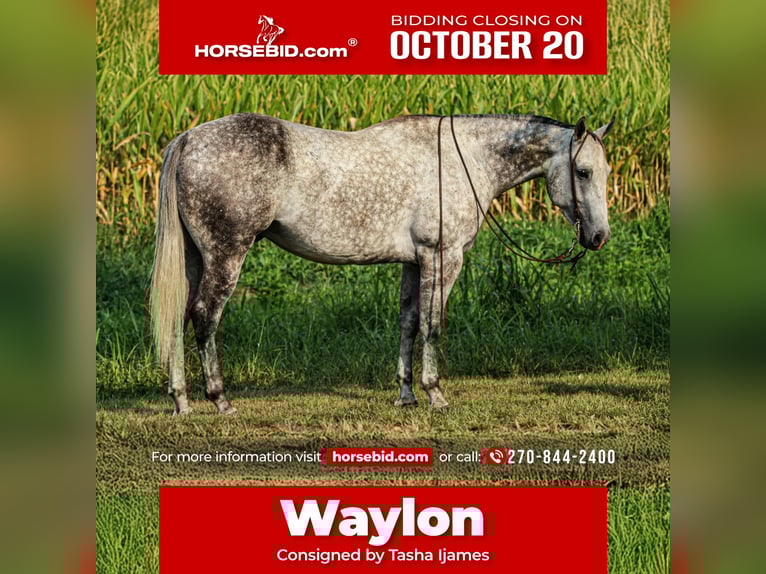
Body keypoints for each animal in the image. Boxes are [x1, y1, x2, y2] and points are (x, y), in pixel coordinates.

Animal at [149, 113, 614, 415]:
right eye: (583, 172)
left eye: (606, 172)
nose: (598, 237)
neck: (464, 159)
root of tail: (187, 139)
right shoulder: (443, 258)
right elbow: (432, 325)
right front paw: (435, 393)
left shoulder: (414, 262)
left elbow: (408, 323)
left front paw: (406, 395)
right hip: (226, 255)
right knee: (204, 317)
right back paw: (219, 399)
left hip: (195, 259)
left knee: (178, 318)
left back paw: (181, 400)